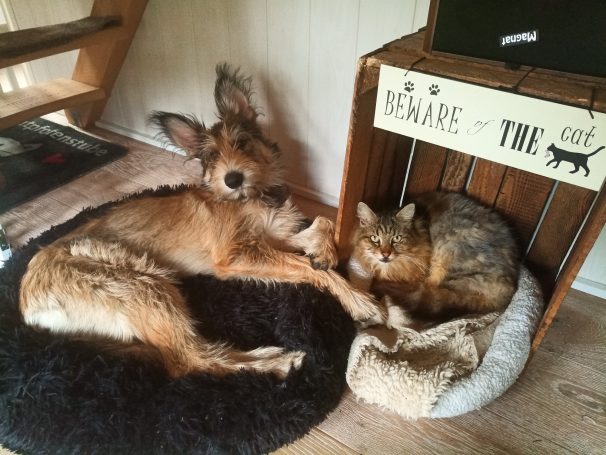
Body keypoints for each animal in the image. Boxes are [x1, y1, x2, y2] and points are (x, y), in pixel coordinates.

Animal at [19, 64, 383, 379]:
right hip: (142, 285)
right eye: (211, 157)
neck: (253, 196)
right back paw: (276, 361)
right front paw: (360, 301)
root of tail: (27, 306)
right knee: (190, 360)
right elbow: (306, 266)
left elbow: (321, 222)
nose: (233, 178)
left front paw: (326, 253)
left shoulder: (272, 235)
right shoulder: (235, 254)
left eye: (242, 142)